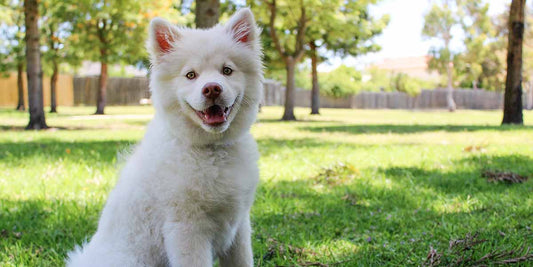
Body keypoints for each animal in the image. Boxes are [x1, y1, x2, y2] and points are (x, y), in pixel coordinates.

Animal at [66, 8, 262, 267]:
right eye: (191, 75)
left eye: (227, 70)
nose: (212, 88)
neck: (212, 149)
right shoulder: (187, 228)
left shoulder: (238, 226)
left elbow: (243, 260)